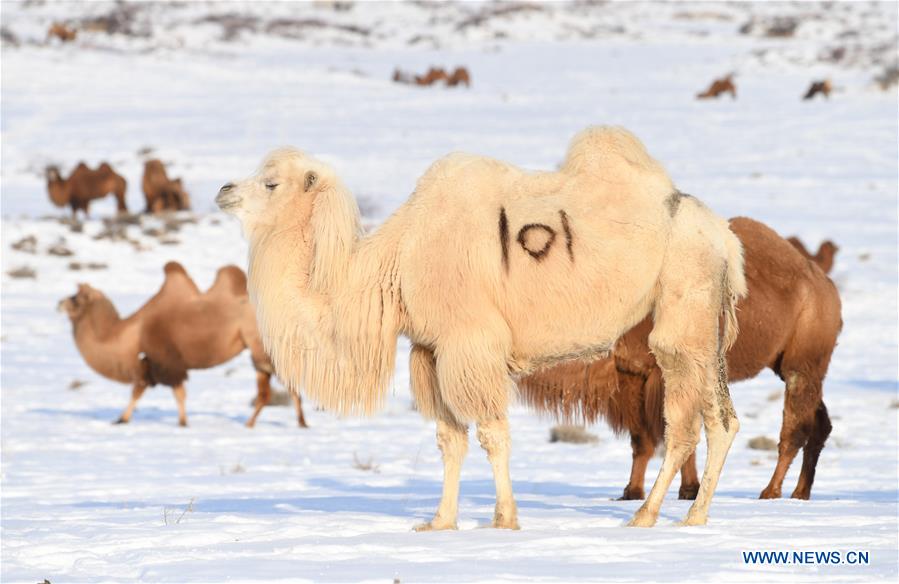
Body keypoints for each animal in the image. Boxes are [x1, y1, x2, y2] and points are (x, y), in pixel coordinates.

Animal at [60, 262, 306, 426]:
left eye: (76, 298)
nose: (59, 303)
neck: (130, 334)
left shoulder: (164, 361)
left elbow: (162, 392)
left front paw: (181, 423)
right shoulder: (151, 364)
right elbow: (143, 391)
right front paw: (123, 418)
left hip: (262, 349)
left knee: (281, 386)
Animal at [216, 126, 744, 528]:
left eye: (270, 183)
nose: (223, 191)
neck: (397, 262)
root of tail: (723, 236)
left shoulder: (471, 343)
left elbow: (491, 433)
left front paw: (503, 519)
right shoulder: (430, 351)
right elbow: (449, 440)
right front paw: (439, 522)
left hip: (683, 306)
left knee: (682, 423)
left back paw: (647, 515)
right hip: (705, 320)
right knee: (721, 419)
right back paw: (695, 516)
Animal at [520, 217, 844, 500]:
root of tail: (825, 285)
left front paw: (688, 490)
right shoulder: (631, 373)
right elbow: (641, 439)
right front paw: (632, 492)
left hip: (802, 365)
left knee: (795, 427)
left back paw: (771, 492)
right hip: (791, 366)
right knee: (820, 423)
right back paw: (800, 493)